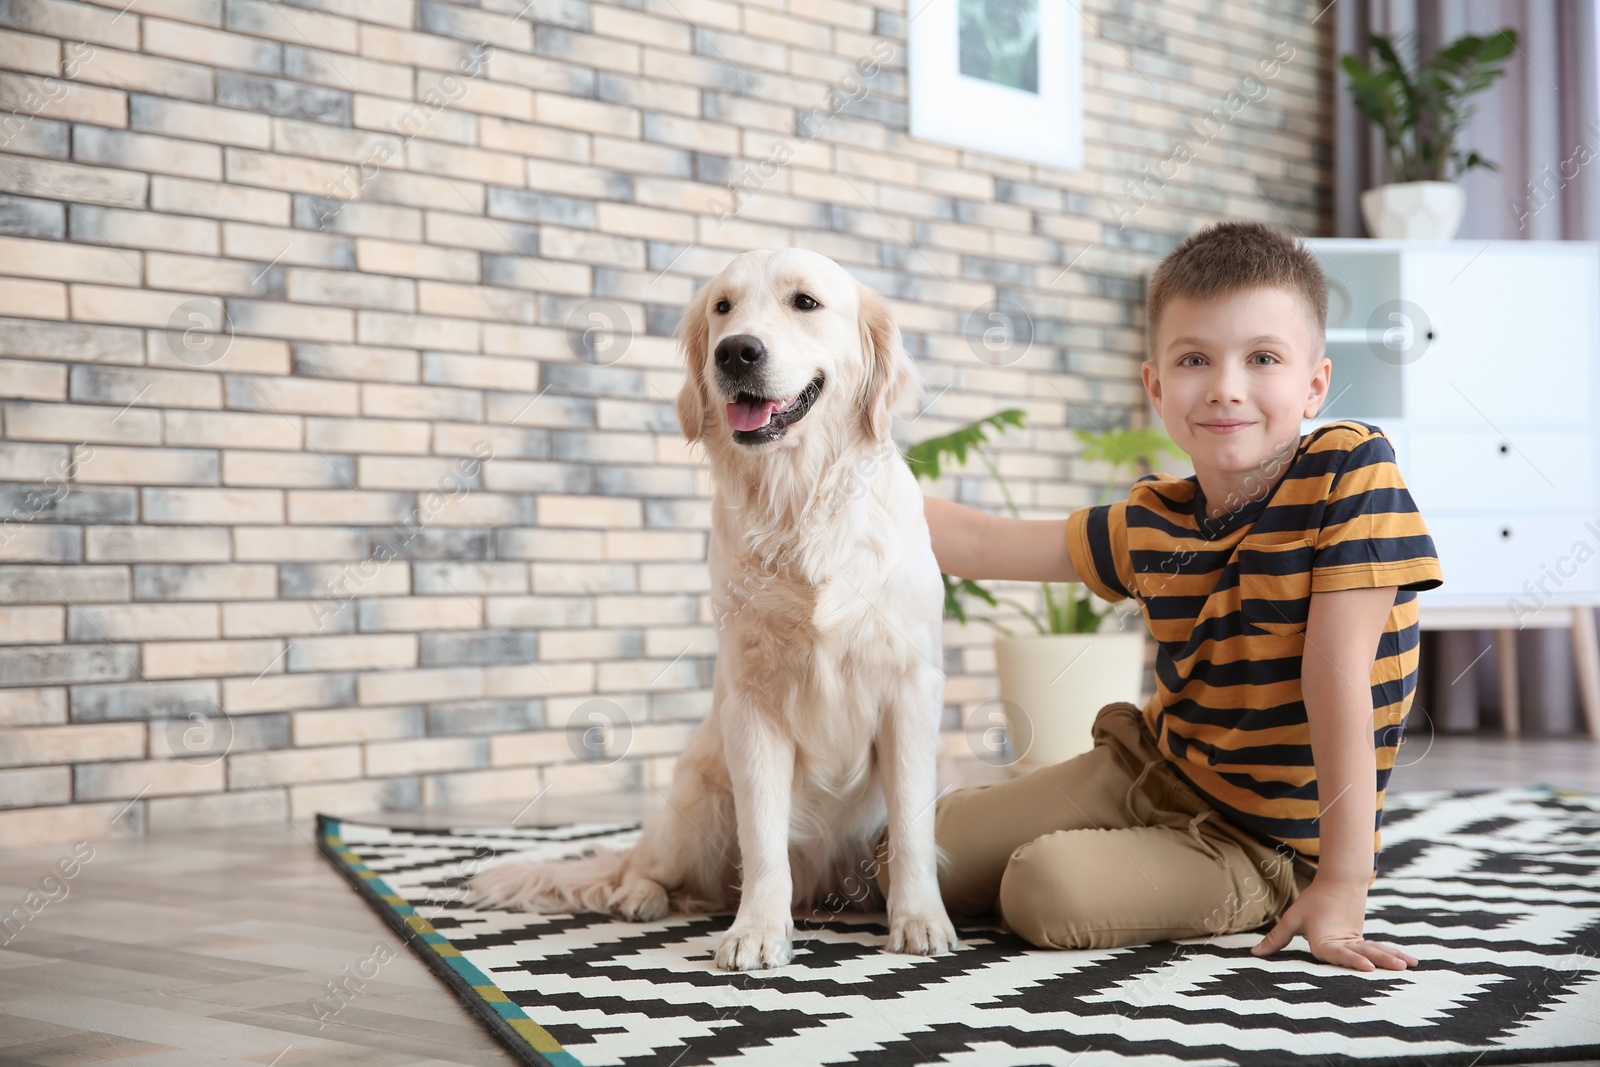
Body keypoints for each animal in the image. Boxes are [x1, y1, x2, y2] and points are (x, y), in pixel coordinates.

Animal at [467, 246, 953, 972]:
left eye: (805, 302)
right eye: (723, 307)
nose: (736, 351)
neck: (798, 504)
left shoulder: (911, 688)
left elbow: (913, 827)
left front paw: (919, 917)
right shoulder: (751, 702)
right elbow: (763, 836)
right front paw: (757, 930)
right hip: (693, 806)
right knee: (647, 867)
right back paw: (640, 897)